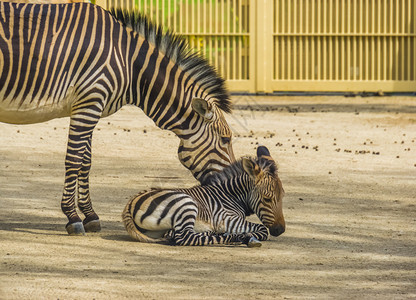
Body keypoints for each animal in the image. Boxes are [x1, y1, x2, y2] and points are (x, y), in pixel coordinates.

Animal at [122, 146, 286, 247]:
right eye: (267, 199)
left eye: (282, 197)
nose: (281, 230)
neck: (229, 195)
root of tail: (129, 205)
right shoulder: (228, 218)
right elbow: (263, 230)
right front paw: (249, 235)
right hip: (186, 204)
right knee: (185, 237)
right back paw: (238, 237)